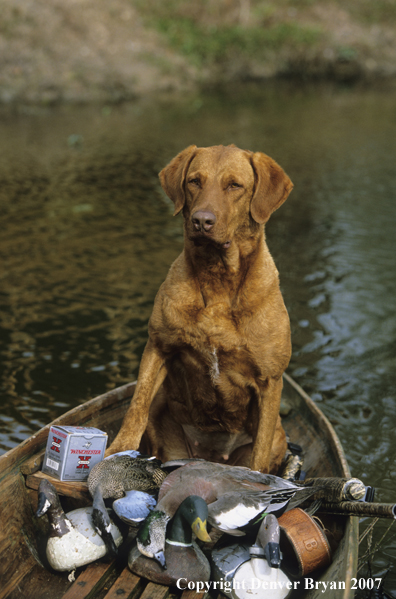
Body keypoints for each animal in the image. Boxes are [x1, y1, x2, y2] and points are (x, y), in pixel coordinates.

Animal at [106, 145, 292, 474]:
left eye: (235, 185)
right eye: (194, 181)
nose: (202, 221)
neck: (218, 277)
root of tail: (211, 456)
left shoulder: (270, 382)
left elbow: (259, 451)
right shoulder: (158, 347)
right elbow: (136, 407)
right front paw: (117, 452)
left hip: (279, 437)